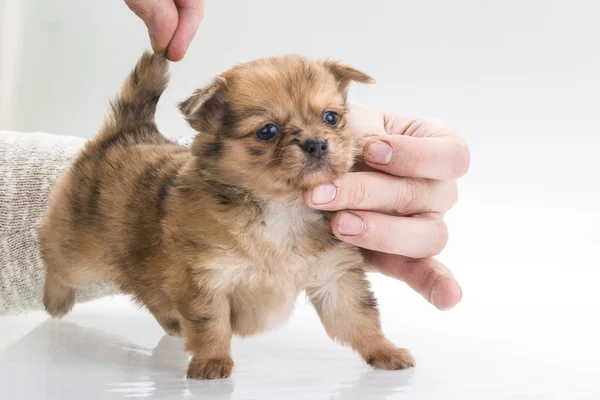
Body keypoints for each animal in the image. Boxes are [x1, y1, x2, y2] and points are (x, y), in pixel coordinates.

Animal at [39, 51, 414, 380]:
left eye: (331, 118)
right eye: (267, 131)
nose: (317, 144)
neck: (282, 207)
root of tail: (128, 132)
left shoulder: (335, 276)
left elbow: (359, 318)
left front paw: (385, 352)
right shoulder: (205, 279)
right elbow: (210, 324)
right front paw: (212, 362)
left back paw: (171, 322)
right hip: (79, 255)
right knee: (53, 256)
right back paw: (55, 300)